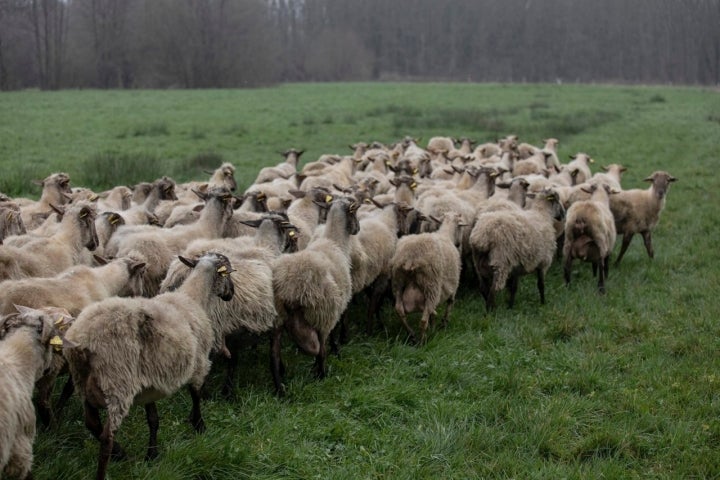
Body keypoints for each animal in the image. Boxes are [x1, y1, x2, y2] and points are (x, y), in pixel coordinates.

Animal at [63, 251, 235, 480]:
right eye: (229, 273)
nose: (231, 294)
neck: (193, 298)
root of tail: (81, 340)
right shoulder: (199, 364)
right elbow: (196, 395)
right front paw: (199, 425)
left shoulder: (152, 382)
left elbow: (153, 420)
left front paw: (152, 455)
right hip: (117, 381)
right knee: (107, 435)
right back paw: (109, 464)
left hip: (82, 381)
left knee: (92, 424)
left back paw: (120, 453)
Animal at [390, 212, 464, 344]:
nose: (459, 244)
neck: (447, 234)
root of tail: (411, 257)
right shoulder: (453, 287)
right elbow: (449, 305)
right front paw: (442, 325)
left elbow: (433, 313)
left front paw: (433, 326)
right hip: (431, 286)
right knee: (424, 318)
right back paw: (423, 340)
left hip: (397, 282)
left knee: (399, 310)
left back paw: (412, 334)